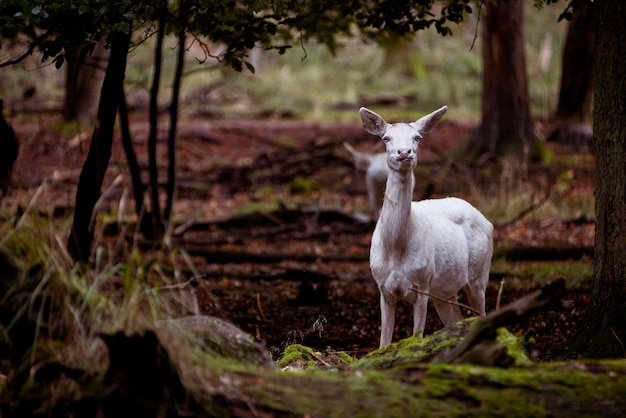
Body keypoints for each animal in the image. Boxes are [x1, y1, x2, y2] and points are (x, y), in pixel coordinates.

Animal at [358, 106, 494, 348]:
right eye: (386, 138)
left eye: (417, 137)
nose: (404, 152)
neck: (396, 248)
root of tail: (488, 222)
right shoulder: (383, 287)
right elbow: (384, 341)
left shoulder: (423, 283)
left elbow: (417, 335)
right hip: (446, 291)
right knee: (456, 320)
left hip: (479, 275)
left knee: (482, 314)